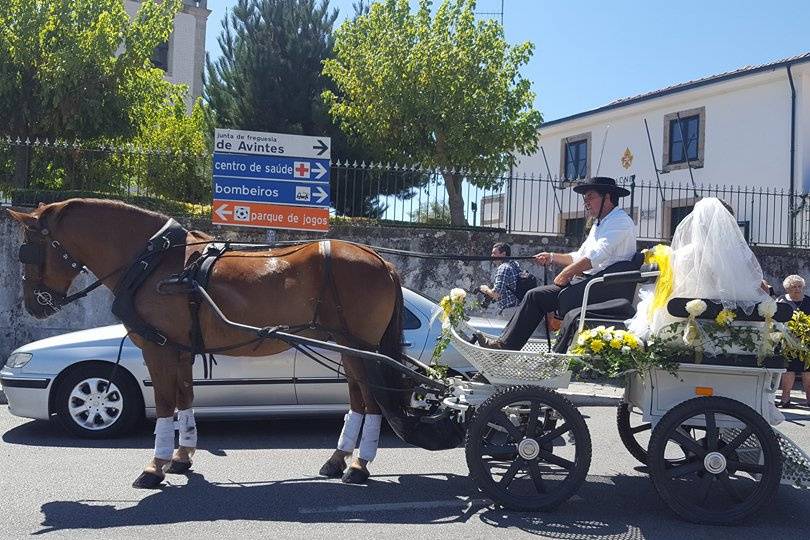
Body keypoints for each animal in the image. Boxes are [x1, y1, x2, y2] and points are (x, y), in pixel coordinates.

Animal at [7, 197, 404, 486]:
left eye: (28, 250)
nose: (32, 304)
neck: (154, 263)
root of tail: (382, 262)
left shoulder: (158, 349)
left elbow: (165, 404)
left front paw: (154, 466)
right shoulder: (180, 350)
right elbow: (185, 399)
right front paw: (181, 458)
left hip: (361, 347)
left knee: (371, 402)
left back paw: (359, 465)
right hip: (346, 348)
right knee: (357, 398)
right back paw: (338, 460)